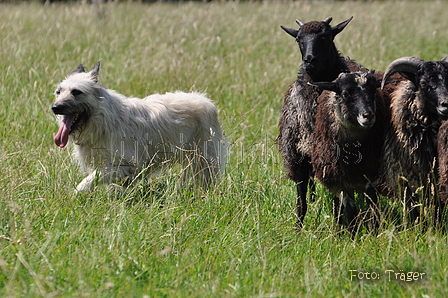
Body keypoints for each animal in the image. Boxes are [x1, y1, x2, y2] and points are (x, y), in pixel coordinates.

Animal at [52, 62, 228, 193]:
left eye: (76, 92)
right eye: (58, 92)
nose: (55, 107)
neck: (102, 119)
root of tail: (206, 100)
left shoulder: (125, 165)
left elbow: (91, 179)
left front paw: (78, 192)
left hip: (204, 159)